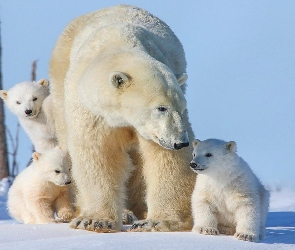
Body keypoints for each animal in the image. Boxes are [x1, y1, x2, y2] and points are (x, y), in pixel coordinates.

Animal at [50, 4, 197, 232]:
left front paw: (157, 221)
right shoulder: (92, 110)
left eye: (182, 108)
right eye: (161, 107)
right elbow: (98, 153)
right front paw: (94, 220)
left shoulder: (154, 130)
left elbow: (165, 159)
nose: (180, 142)